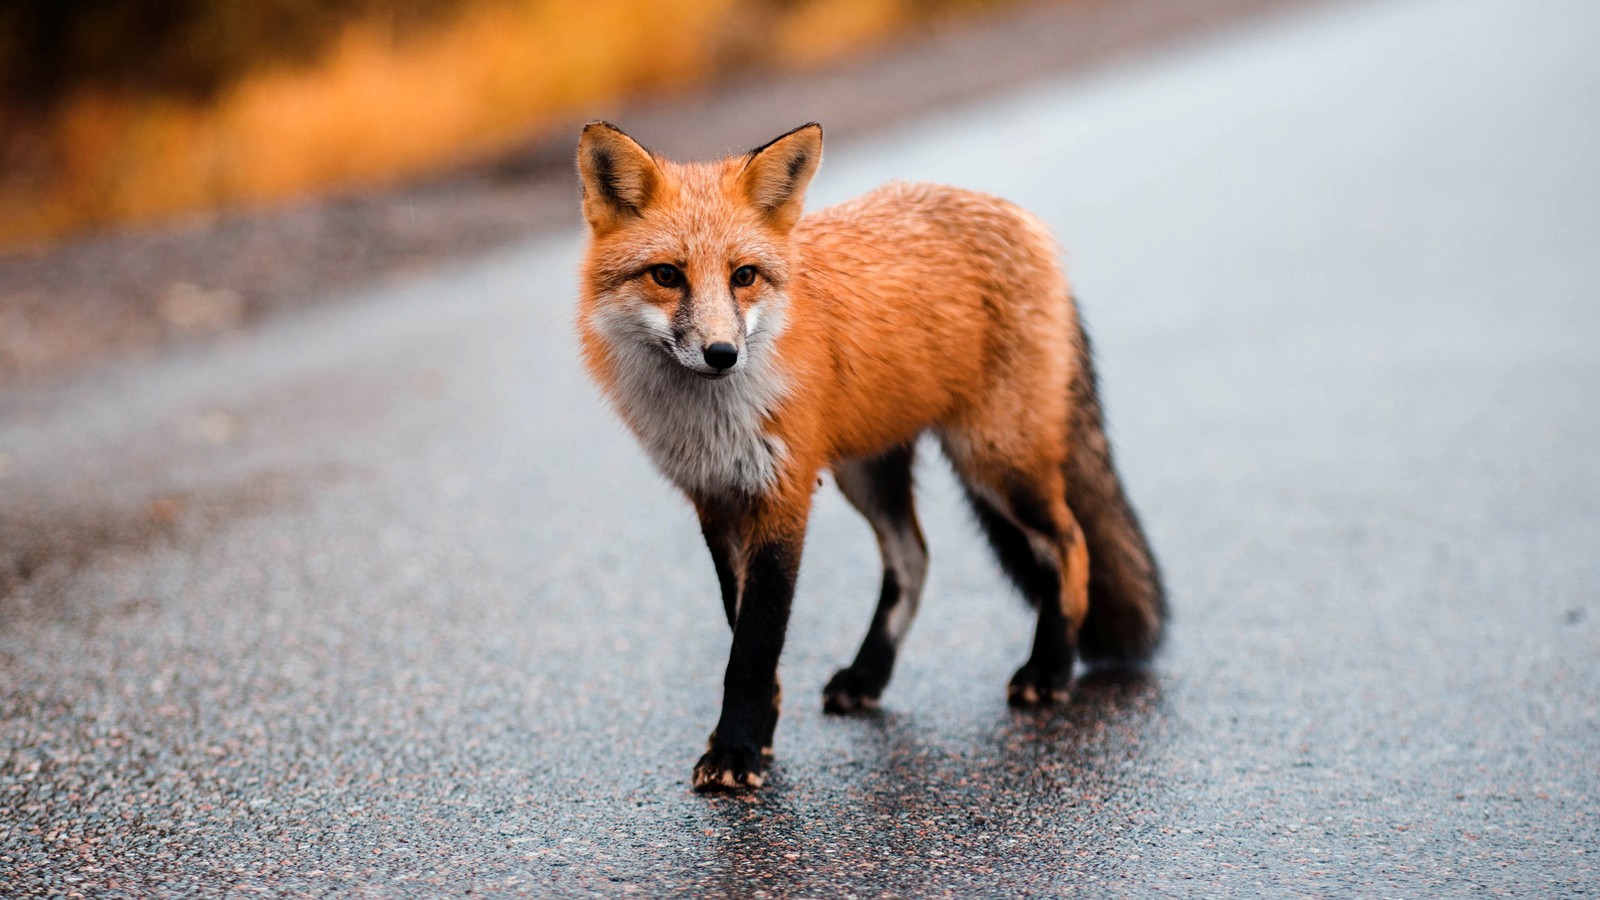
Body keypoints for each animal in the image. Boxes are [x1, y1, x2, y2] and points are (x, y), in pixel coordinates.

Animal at [576, 122, 1164, 787]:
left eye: (743, 276)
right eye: (667, 276)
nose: (723, 354)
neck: (711, 421)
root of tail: (1020, 218)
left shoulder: (784, 494)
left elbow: (754, 644)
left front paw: (736, 750)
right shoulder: (716, 499)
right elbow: (741, 628)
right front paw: (760, 733)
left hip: (994, 461)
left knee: (1069, 544)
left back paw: (1050, 669)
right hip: (869, 473)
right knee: (914, 557)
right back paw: (869, 675)